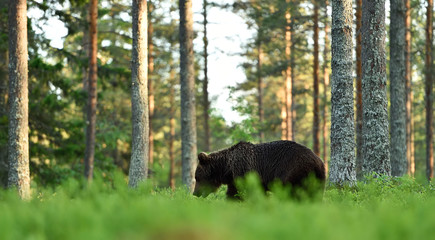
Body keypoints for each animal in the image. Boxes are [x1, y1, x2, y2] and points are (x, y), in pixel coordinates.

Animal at [195, 141, 328, 199]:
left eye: (197, 177)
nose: (194, 193)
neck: (228, 169)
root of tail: (319, 161)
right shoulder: (236, 179)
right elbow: (233, 193)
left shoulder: (244, 172)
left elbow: (242, 193)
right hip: (318, 178)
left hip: (293, 171)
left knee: (292, 192)